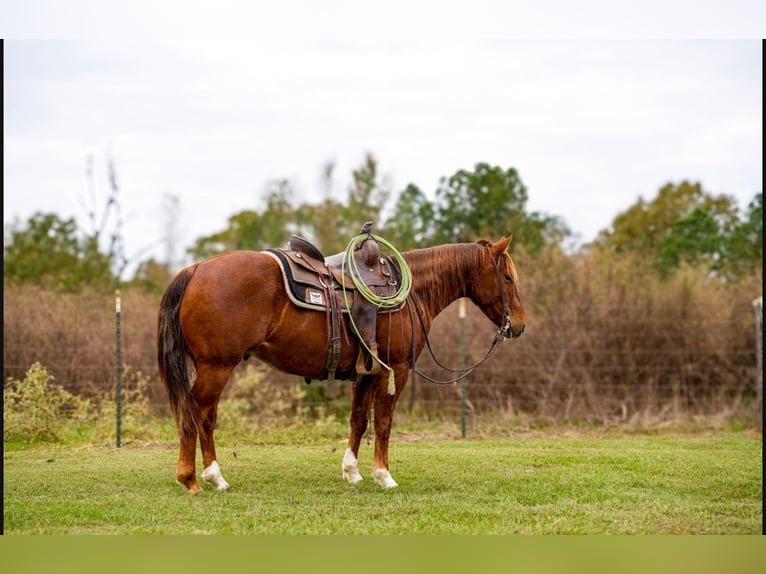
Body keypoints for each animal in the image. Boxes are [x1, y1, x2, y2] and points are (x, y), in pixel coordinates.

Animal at [158, 234, 524, 496]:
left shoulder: (365, 374)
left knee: (204, 418)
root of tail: (196, 269)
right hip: (216, 366)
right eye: (507, 277)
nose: (519, 325)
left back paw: (213, 478)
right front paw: (384, 475)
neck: (410, 293)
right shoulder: (396, 370)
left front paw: (352, 472)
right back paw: (194, 478)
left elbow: (358, 421)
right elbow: (384, 423)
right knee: (196, 415)